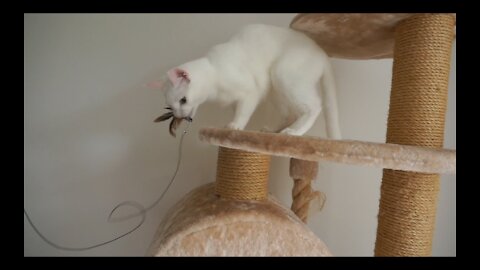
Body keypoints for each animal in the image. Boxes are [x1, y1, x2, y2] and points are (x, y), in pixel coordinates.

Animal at [148, 23, 340, 138]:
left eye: (183, 100)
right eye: (171, 107)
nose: (180, 116)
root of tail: (322, 52)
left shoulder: (250, 92)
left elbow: (243, 112)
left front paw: (235, 127)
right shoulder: (235, 100)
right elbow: (238, 110)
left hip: (282, 74)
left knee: (315, 106)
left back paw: (294, 132)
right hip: (276, 90)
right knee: (289, 113)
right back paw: (272, 131)